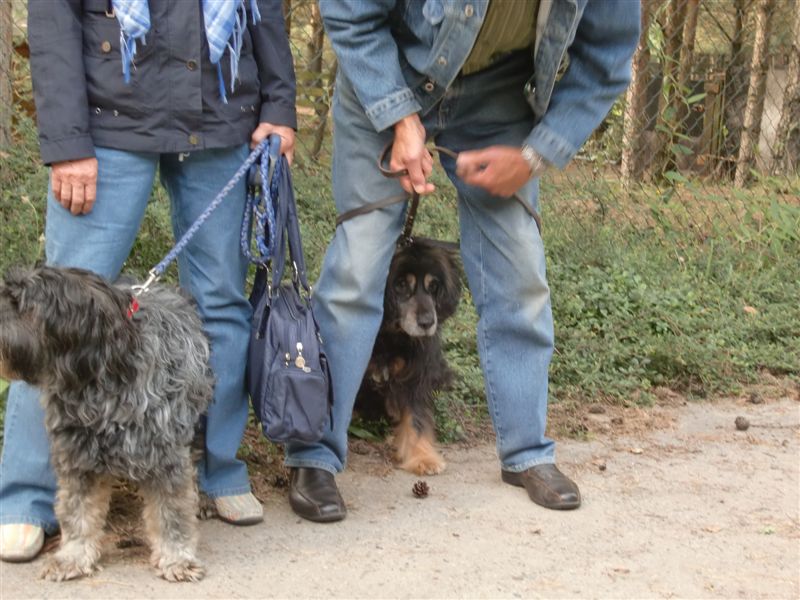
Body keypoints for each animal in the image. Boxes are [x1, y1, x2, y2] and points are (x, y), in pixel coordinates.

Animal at [0, 266, 212, 582]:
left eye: (22, 304)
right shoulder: (77, 460)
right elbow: (78, 513)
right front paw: (72, 556)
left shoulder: (167, 459)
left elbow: (171, 513)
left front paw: (177, 558)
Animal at [355, 238, 462, 475]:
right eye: (401, 284)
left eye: (434, 286)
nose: (427, 323)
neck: (389, 336)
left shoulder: (416, 376)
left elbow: (416, 418)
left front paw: (423, 457)